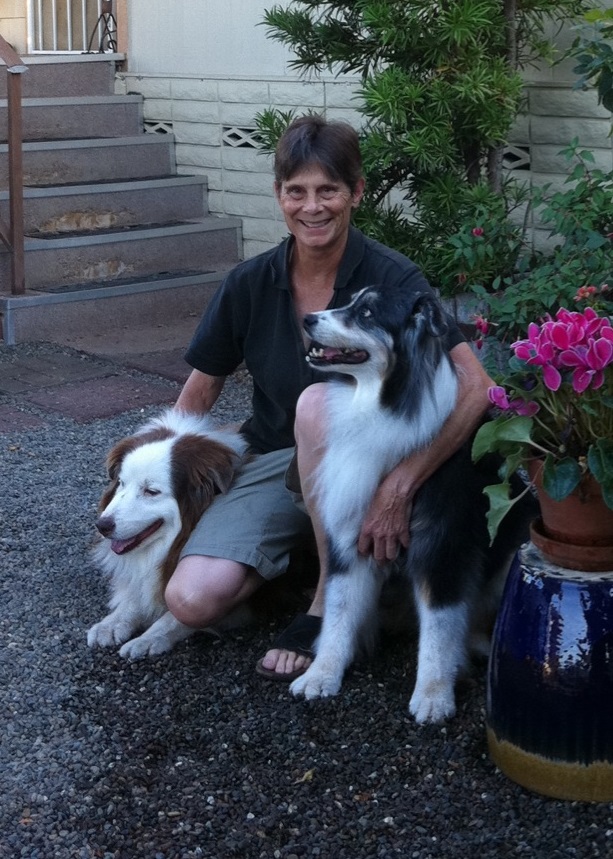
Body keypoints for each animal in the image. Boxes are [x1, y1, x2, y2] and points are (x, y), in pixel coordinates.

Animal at [87, 409, 248, 659]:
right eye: (121, 483)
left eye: (151, 491)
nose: (101, 525)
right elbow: (138, 592)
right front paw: (112, 623)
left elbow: (176, 615)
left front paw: (148, 639)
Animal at [289, 286, 535, 723]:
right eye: (348, 301)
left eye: (367, 313)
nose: (308, 319)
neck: (381, 405)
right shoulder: (351, 538)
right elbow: (338, 611)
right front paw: (321, 675)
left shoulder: (443, 547)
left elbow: (439, 625)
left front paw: (434, 696)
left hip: (517, 546)